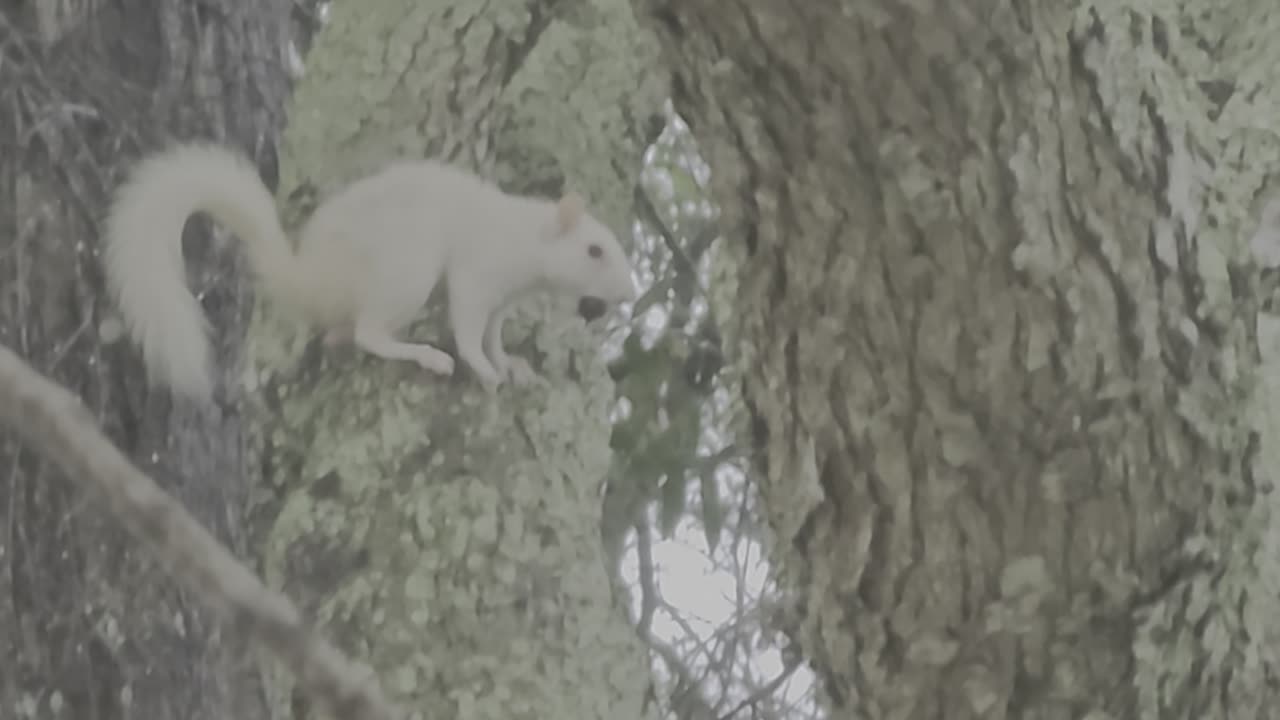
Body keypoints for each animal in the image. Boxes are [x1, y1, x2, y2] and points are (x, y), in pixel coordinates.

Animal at [102, 142, 637, 394]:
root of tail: (307, 281)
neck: (525, 236)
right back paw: (426, 356)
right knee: (369, 334)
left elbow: (493, 334)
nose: (627, 293)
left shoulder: (503, 300)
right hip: (409, 271)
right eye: (594, 251)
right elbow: (468, 330)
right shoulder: (476, 273)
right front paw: (486, 371)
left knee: (346, 333)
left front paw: (510, 364)